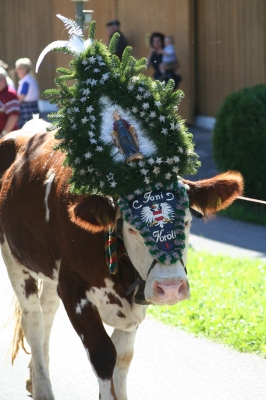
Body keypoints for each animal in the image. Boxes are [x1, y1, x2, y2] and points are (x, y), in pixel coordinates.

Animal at [0, 119, 243, 400]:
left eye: (186, 221)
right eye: (132, 228)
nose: (171, 288)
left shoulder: (135, 302)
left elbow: (124, 358)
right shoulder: (73, 287)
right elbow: (104, 355)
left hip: (49, 267)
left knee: (47, 308)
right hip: (14, 257)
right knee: (33, 319)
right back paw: (42, 387)